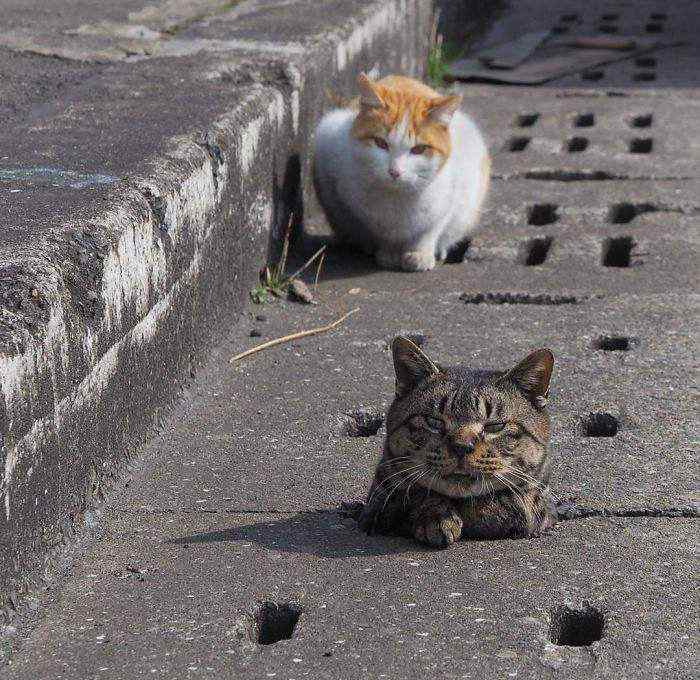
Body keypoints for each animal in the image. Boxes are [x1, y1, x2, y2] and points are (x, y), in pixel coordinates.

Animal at [314, 73, 490, 270]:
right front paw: (388, 254)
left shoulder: (450, 198)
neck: (398, 198)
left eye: (419, 149)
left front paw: (420, 255)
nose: (395, 171)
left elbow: (430, 231)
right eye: (380, 143)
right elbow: (381, 233)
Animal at [358, 338, 556, 548]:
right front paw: (436, 516)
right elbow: (416, 495)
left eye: (495, 426)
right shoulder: (378, 503)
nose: (462, 446)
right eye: (434, 421)